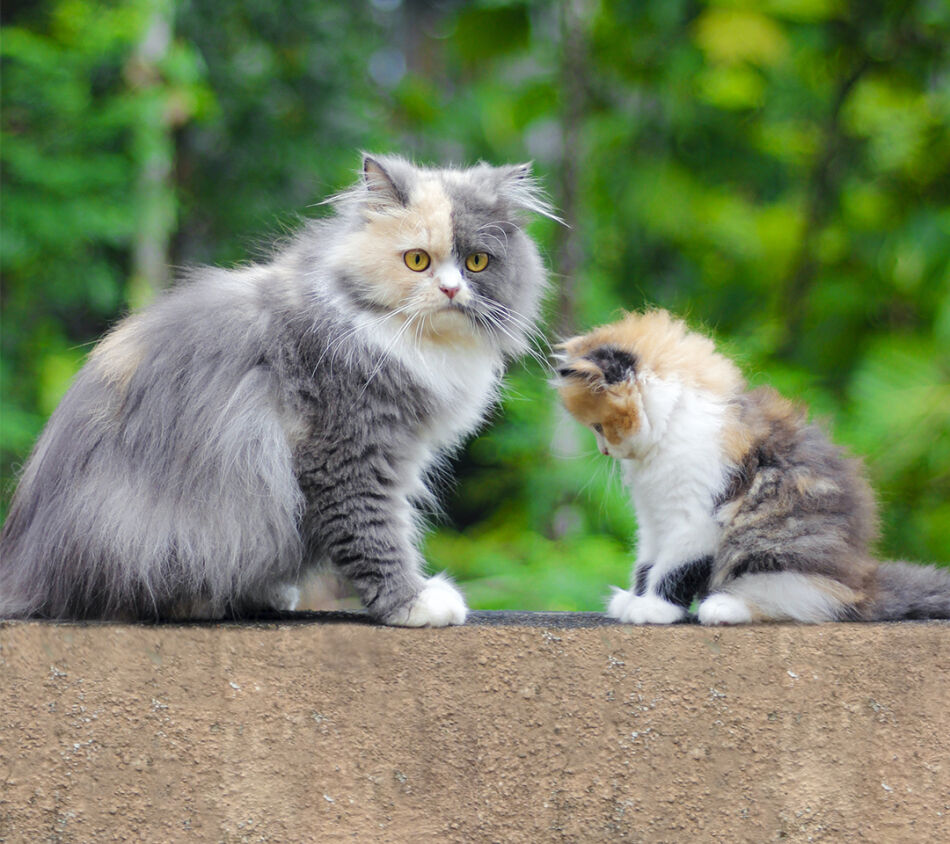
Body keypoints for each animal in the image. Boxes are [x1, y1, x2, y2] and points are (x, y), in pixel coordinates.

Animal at [0, 155, 556, 624]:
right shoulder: (350, 454)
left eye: (477, 263)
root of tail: (25, 569)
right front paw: (414, 603)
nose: (450, 290)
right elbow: (376, 535)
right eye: (417, 260)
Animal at [556, 312, 950, 628]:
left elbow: (674, 566)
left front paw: (654, 608)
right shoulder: (653, 518)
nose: (604, 450)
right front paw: (634, 598)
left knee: (808, 600)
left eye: (598, 427)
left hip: (776, 553)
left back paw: (723, 606)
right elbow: (647, 561)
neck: (673, 426)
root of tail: (864, 584)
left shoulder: (696, 518)